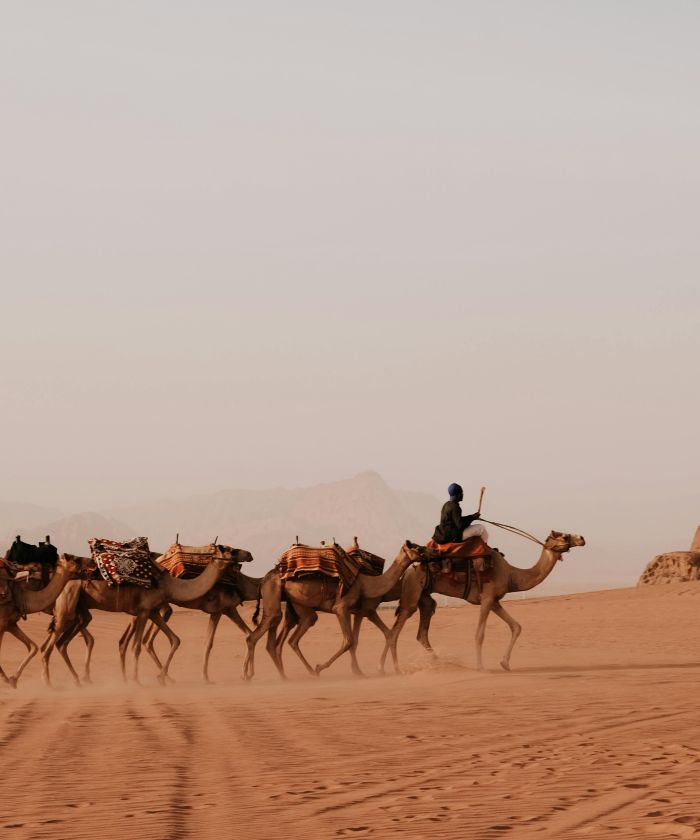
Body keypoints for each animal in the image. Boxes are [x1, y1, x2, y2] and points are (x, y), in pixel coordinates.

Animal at [0, 556, 80, 684]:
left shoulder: (10, 623)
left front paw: (12, 680)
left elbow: (33, 647)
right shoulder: (2, 622)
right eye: (74, 561)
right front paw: (5, 678)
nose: (93, 567)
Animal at [41, 552, 232, 684]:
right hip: (67, 605)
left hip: (78, 610)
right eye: (230, 551)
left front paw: (162, 678)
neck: (168, 584)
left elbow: (174, 639)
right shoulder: (143, 611)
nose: (243, 555)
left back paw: (78, 680)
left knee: (62, 642)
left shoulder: (152, 611)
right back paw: (50, 683)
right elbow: (137, 646)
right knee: (50, 646)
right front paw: (136, 681)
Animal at [243, 540, 424, 684]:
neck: (365, 583)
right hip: (277, 598)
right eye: (417, 548)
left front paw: (360, 671)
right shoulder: (344, 608)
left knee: (281, 639)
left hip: (295, 605)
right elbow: (349, 641)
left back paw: (285, 675)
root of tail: (265, 578)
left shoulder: (355, 611)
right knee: (260, 636)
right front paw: (322, 667)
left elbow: (359, 640)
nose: (428, 554)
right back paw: (249, 675)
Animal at [380, 532, 584, 676]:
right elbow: (479, 634)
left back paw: (443, 663)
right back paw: (386, 669)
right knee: (395, 631)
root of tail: (407, 571)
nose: (581, 538)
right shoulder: (486, 598)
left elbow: (516, 626)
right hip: (412, 592)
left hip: (424, 597)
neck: (511, 575)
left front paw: (505, 663)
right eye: (565, 535)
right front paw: (481, 668)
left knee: (422, 632)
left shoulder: (494, 601)